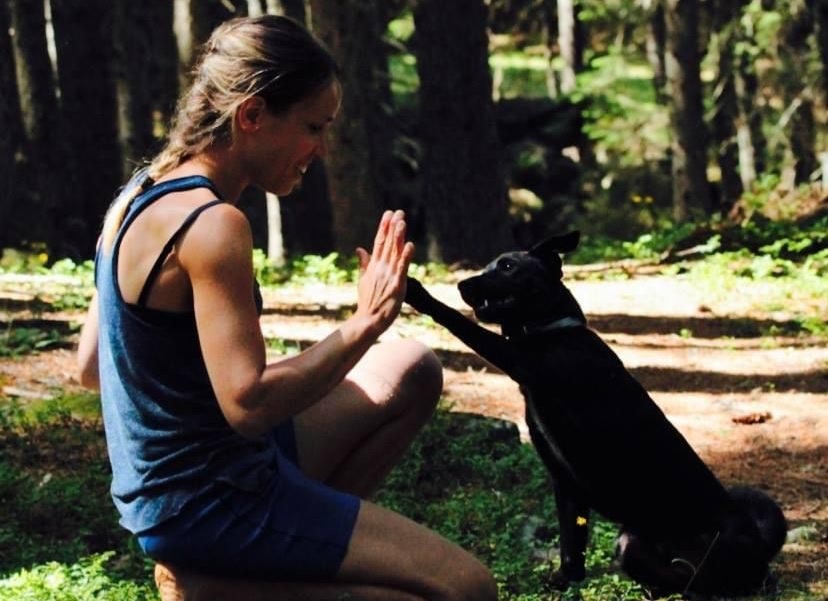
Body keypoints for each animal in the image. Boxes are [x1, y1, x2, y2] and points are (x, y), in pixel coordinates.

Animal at [404, 232, 784, 592]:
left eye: (508, 266)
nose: (462, 285)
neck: (552, 329)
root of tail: (760, 548)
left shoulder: (518, 359)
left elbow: (459, 321)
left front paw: (416, 291)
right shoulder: (565, 482)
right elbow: (571, 546)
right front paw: (563, 582)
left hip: (642, 545)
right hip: (633, 543)